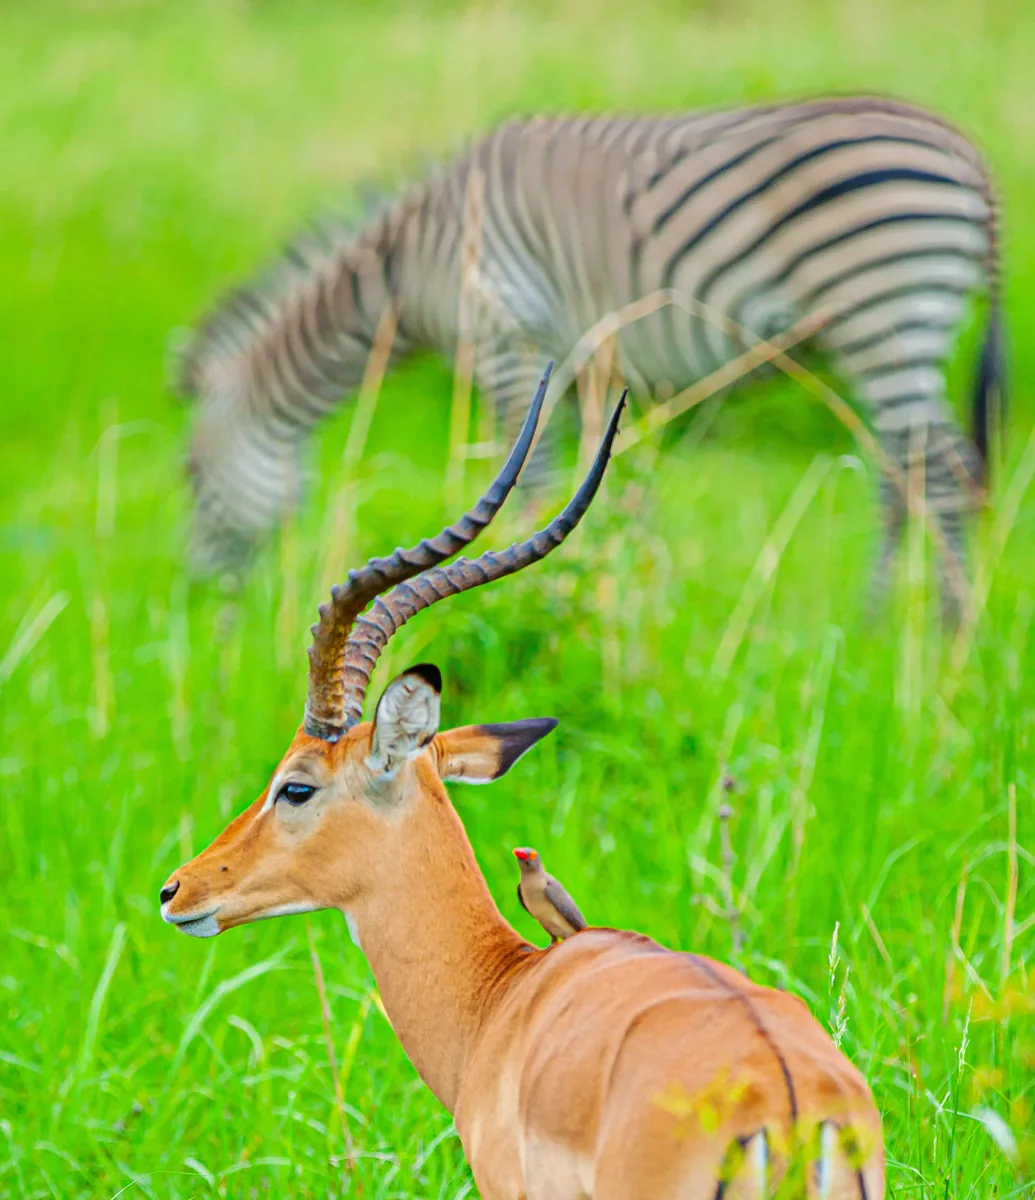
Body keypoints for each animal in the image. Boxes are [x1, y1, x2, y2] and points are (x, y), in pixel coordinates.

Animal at [179, 96, 1003, 618]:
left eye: (189, 475)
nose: (199, 600)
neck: (404, 269)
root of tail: (970, 158)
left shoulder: (507, 342)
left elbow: (532, 487)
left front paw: (528, 603)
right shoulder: (574, 373)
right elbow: (588, 496)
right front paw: (598, 601)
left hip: (886, 309)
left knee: (943, 472)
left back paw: (940, 637)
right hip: (884, 330)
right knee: (905, 473)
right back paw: (879, 628)